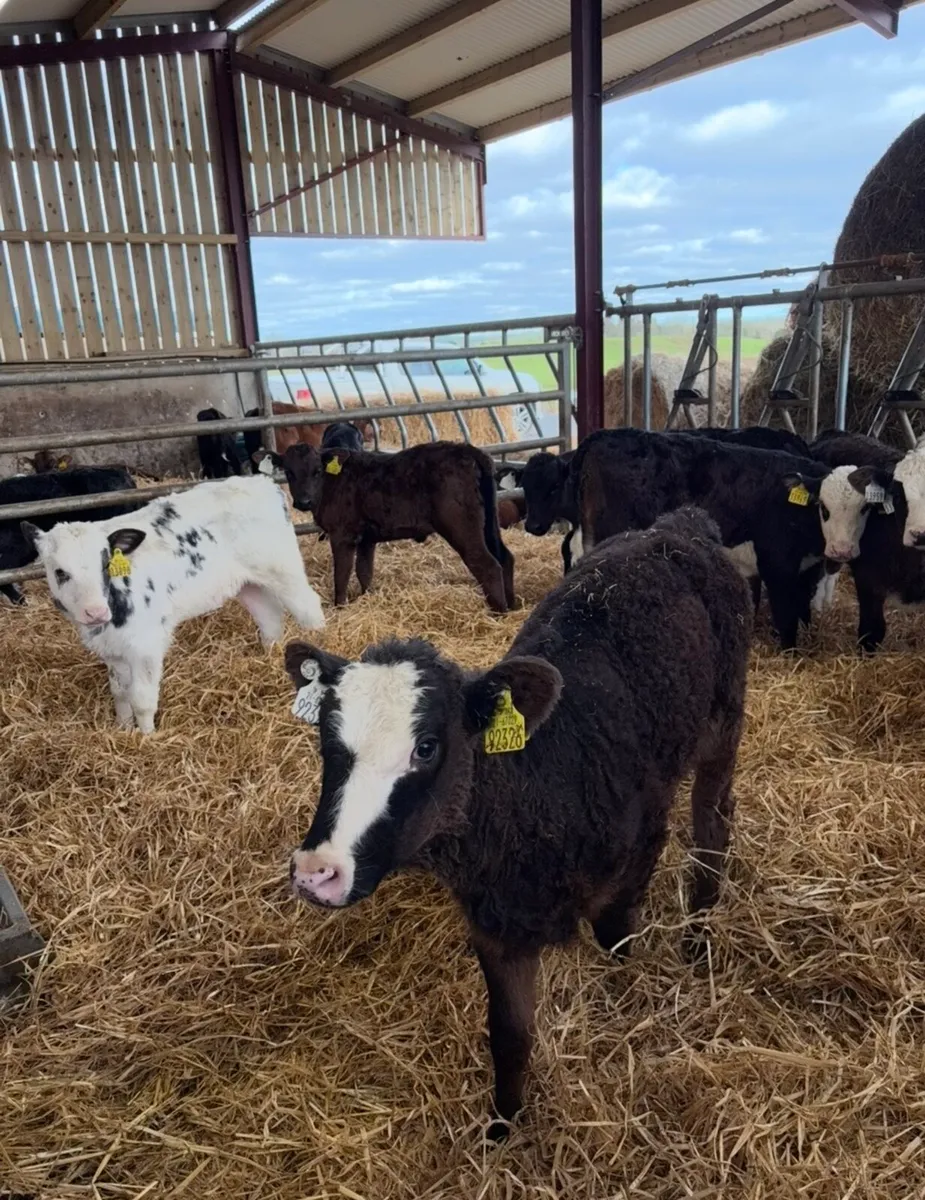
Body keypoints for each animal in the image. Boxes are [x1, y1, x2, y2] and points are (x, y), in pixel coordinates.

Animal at [23, 475, 325, 732]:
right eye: (60, 572)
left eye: (105, 564)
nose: (95, 611)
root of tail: (262, 482)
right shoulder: (112, 650)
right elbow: (120, 694)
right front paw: (122, 730)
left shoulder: (145, 646)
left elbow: (142, 700)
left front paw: (146, 739)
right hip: (249, 585)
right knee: (270, 618)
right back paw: (268, 656)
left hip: (284, 571)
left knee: (310, 609)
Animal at [271, 440, 514, 612]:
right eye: (289, 472)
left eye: (317, 471)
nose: (303, 501)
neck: (332, 484)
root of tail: (467, 450)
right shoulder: (366, 537)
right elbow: (364, 571)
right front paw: (367, 599)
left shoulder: (342, 534)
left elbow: (342, 573)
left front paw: (339, 607)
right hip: (488, 524)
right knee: (505, 557)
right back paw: (512, 606)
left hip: (461, 525)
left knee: (487, 564)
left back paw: (497, 613)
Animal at [285, 505, 751, 1137]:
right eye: (325, 743)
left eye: (427, 747)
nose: (317, 871)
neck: (539, 786)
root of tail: (677, 526)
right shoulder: (495, 921)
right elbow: (508, 1035)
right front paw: (504, 1127)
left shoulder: (639, 847)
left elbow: (616, 941)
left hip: (722, 725)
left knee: (713, 824)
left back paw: (700, 931)